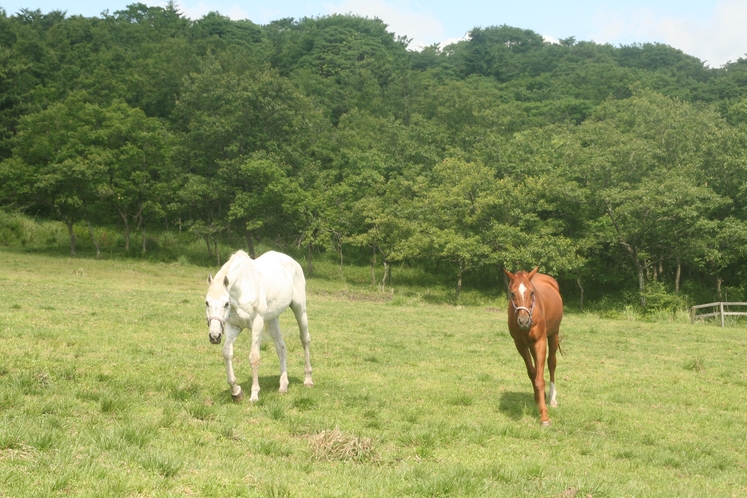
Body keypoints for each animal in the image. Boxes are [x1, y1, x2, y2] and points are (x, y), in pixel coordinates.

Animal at [205, 249, 312, 400]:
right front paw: (236, 391)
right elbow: (227, 353)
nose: (214, 336)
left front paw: (254, 394)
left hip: (299, 309)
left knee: (305, 339)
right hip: (273, 319)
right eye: (207, 302)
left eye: (226, 304)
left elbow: (254, 358)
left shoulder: (257, 325)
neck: (243, 289)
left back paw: (308, 379)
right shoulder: (233, 327)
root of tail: (292, 261)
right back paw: (283, 386)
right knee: (281, 348)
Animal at [506, 266, 564, 426]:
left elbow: (540, 379)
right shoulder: (520, 344)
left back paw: (552, 398)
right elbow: (532, 373)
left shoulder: (540, 342)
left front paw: (544, 417)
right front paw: (538, 400)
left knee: (551, 363)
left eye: (532, 292)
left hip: (553, 335)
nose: (524, 321)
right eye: (512, 293)